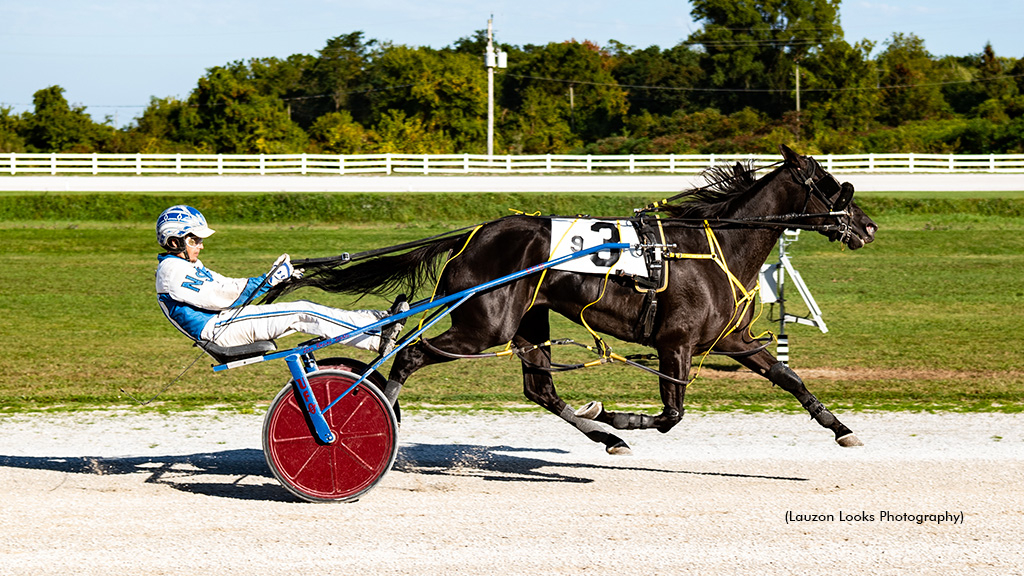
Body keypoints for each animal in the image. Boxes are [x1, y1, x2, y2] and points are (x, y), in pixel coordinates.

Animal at [272, 145, 880, 450]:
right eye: (833, 185)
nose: (868, 226)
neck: (717, 249)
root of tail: (476, 234)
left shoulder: (734, 340)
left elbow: (789, 378)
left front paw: (841, 428)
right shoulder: (675, 344)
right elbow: (670, 415)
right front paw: (616, 414)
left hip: (527, 322)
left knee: (539, 388)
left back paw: (601, 437)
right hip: (485, 326)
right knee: (412, 356)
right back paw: (363, 412)